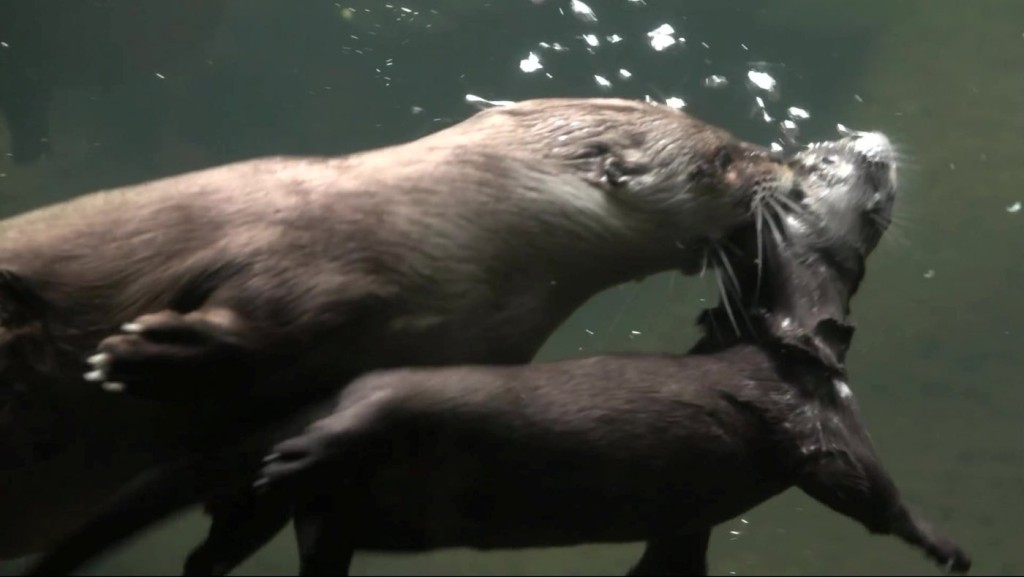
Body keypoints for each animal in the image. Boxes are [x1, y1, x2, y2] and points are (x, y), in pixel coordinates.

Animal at [23, 130, 971, 576]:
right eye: (832, 163)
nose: (870, 141)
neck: (786, 331)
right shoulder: (817, 416)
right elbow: (870, 492)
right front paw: (943, 543)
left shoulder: (699, 507)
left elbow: (678, 547)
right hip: (400, 401)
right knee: (367, 408)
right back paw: (302, 445)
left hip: (311, 513)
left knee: (239, 536)